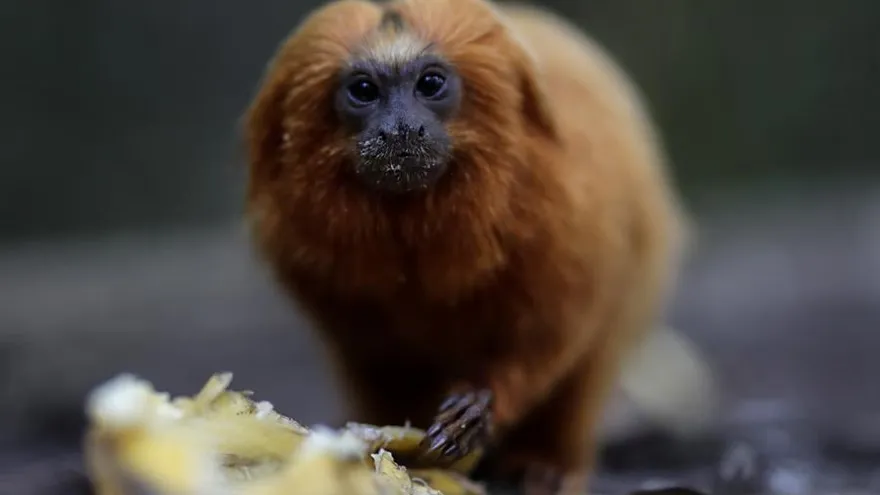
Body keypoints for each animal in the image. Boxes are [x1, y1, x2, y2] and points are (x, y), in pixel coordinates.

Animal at [243, 0, 689, 492]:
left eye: (430, 84)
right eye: (363, 90)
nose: (401, 129)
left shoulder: (567, 218)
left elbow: (555, 333)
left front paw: (479, 407)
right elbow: (374, 357)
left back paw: (548, 462)